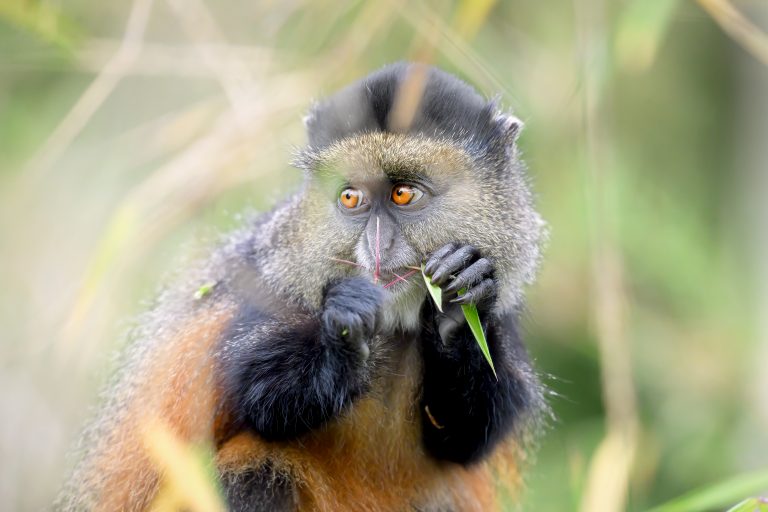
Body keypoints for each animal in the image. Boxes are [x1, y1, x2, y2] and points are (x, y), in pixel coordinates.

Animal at [55, 62, 547, 512]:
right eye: (350, 197)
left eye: (403, 194)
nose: (377, 247)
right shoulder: (271, 281)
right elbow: (258, 392)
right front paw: (346, 321)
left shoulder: (504, 300)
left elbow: (468, 436)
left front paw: (455, 311)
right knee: (254, 470)